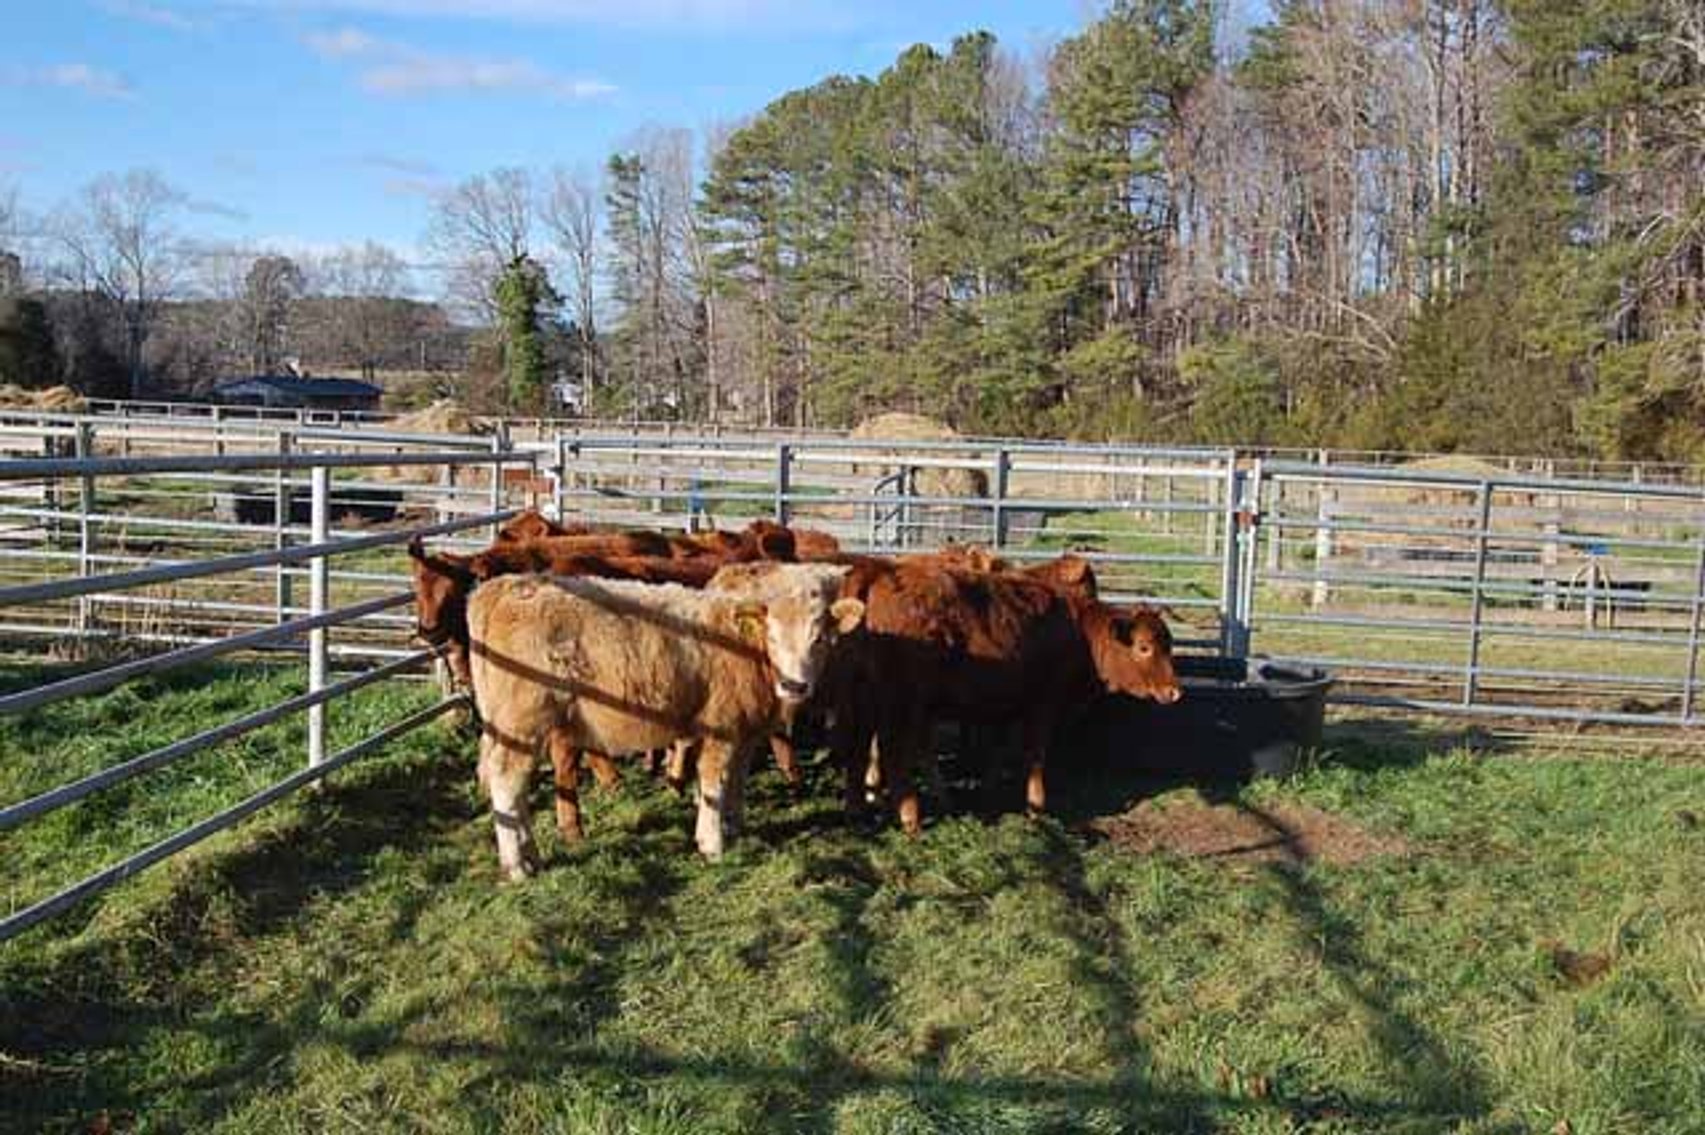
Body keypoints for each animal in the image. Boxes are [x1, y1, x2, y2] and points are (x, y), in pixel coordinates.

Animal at [465, 569, 865, 876]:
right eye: (773, 636)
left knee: (516, 785)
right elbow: (714, 782)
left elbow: (737, 780)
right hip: (522, 722)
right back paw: (516, 864)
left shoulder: (745, 732)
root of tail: (504, 586)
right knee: (507, 780)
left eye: (819, 639)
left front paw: (734, 825)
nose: (794, 685)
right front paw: (712, 843)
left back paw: (530, 853)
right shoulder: (720, 728)